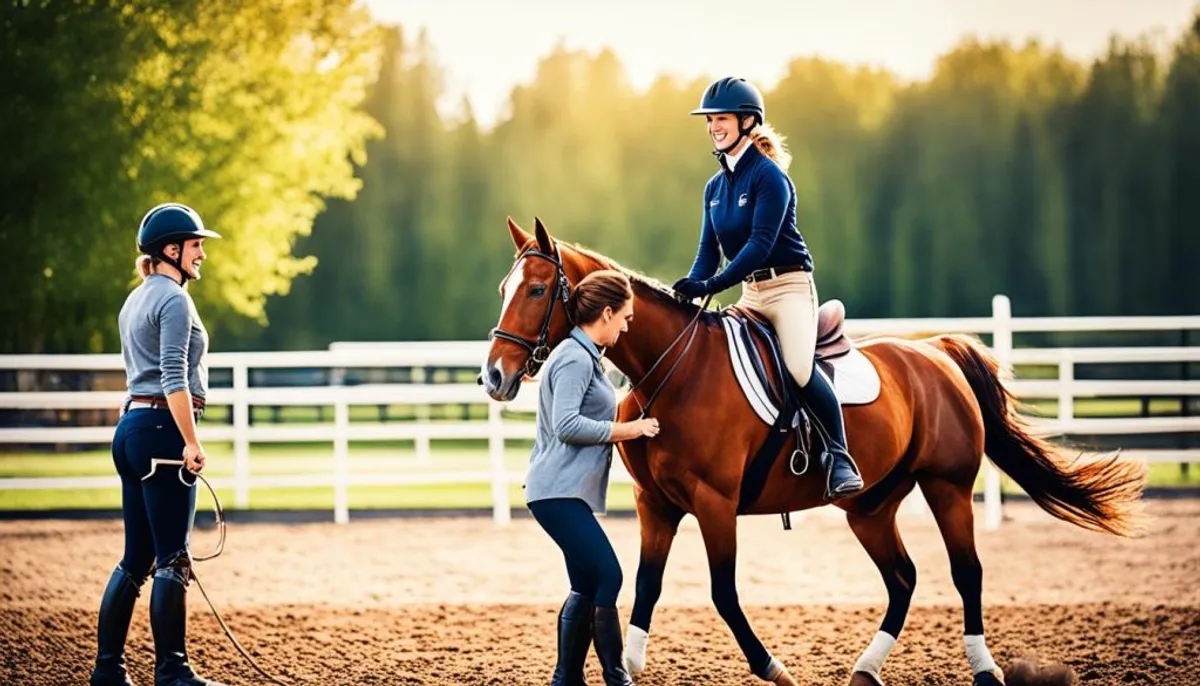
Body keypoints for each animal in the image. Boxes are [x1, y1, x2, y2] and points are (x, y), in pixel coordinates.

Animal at [482, 218, 1147, 686]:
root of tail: (934, 351)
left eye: (537, 289)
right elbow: (645, 584)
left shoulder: (714, 503)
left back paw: (985, 668)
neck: (673, 372)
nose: (493, 376)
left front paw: (771, 667)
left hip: (948, 486)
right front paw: (634, 665)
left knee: (967, 573)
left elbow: (722, 594)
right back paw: (867, 668)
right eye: (504, 288)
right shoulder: (658, 505)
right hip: (870, 507)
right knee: (903, 578)